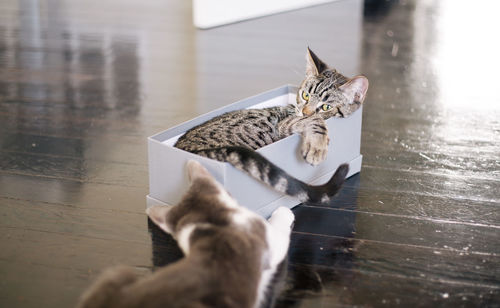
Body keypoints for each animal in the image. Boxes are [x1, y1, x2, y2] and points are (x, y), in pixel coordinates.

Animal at [175, 47, 368, 202]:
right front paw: (317, 147)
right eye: (305, 95)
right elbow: (315, 121)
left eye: (326, 107)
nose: (304, 112)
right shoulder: (284, 124)